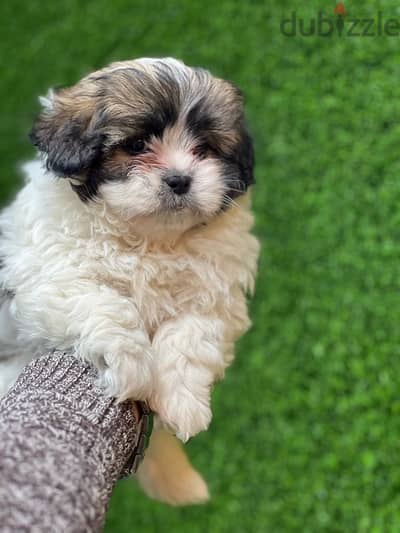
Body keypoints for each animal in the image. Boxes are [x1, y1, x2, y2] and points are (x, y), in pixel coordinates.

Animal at [0, 58, 260, 502]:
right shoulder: (45, 274)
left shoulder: (217, 295)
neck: (149, 240)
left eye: (204, 150)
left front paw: (184, 401)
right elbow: (102, 303)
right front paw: (131, 362)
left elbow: (192, 334)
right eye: (137, 146)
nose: (180, 179)